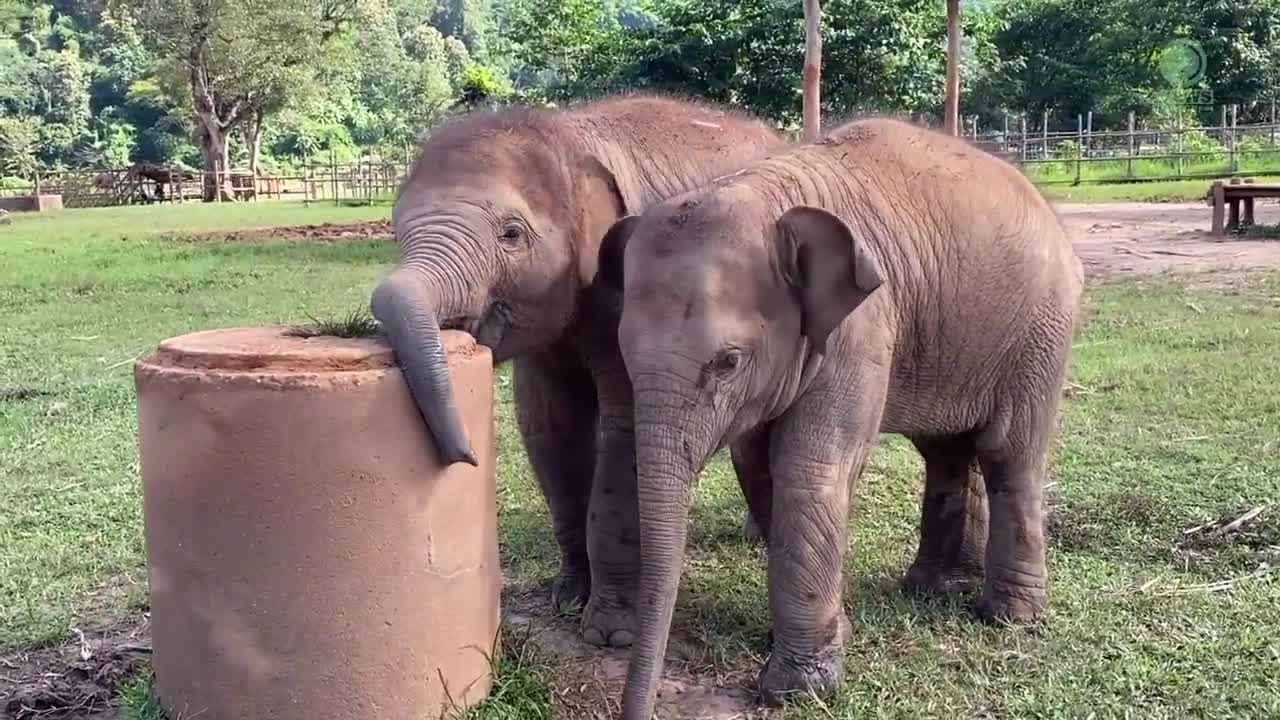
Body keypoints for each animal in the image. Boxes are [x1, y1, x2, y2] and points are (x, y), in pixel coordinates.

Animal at [366, 90, 783, 645]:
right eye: (396, 230)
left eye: (511, 234)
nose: (465, 457)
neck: (564, 138)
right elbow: (548, 426)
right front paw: (566, 598)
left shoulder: (628, 295)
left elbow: (625, 431)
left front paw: (608, 633)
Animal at [596, 119, 1080, 717]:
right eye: (625, 356)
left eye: (727, 362)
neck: (765, 196)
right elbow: (756, 459)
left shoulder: (862, 327)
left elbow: (809, 470)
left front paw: (797, 690)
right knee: (944, 450)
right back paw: (934, 587)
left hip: (1041, 332)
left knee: (1008, 454)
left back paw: (1007, 617)